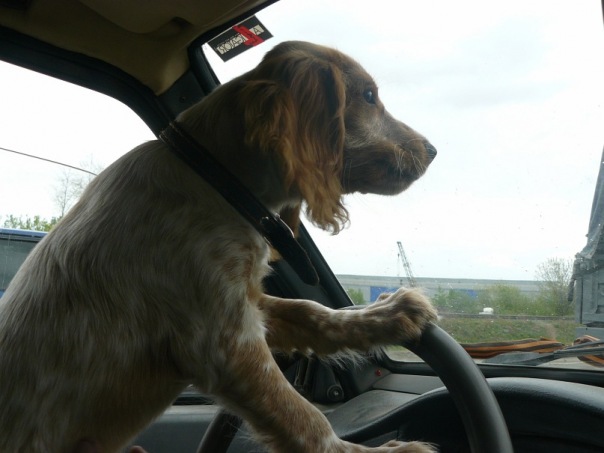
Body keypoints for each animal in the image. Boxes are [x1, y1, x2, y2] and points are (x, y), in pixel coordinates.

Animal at [0, 41, 438, 452]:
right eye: (368, 96)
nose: (432, 151)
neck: (214, 179)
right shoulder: (225, 342)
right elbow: (304, 418)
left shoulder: (246, 299)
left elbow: (311, 311)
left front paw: (386, 314)